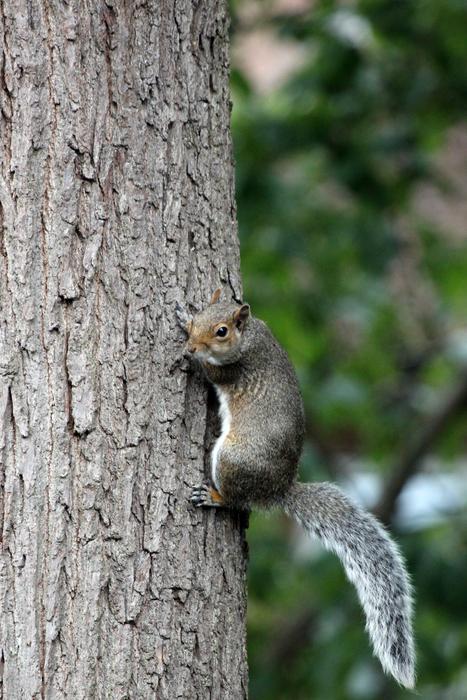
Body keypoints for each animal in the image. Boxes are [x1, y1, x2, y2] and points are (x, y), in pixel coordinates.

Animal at [176, 289, 415, 688]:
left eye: (221, 331)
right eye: (201, 316)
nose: (192, 345)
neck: (250, 337)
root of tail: (279, 489)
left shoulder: (231, 369)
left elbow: (212, 372)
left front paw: (191, 355)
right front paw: (182, 315)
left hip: (231, 458)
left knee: (238, 502)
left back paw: (213, 497)